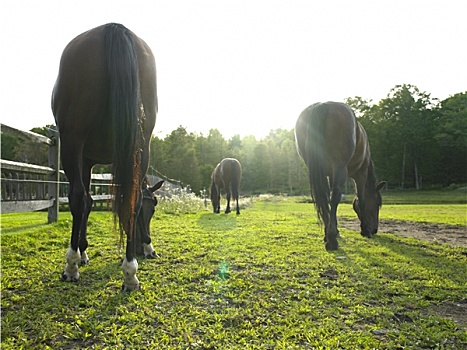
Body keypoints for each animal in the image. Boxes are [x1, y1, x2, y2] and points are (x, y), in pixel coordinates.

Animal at [51, 23, 159, 290]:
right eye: (151, 209)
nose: (148, 248)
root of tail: (114, 29)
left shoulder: (83, 157)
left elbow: (86, 201)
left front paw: (80, 253)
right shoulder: (90, 160)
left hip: (72, 140)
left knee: (77, 198)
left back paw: (71, 266)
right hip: (141, 146)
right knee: (132, 199)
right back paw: (130, 273)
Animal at [296, 102, 388, 252]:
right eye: (378, 204)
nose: (374, 229)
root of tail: (323, 105)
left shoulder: (330, 175)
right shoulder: (360, 174)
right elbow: (361, 199)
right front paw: (364, 230)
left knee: (324, 198)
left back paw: (329, 235)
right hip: (340, 167)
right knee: (335, 197)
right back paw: (332, 240)